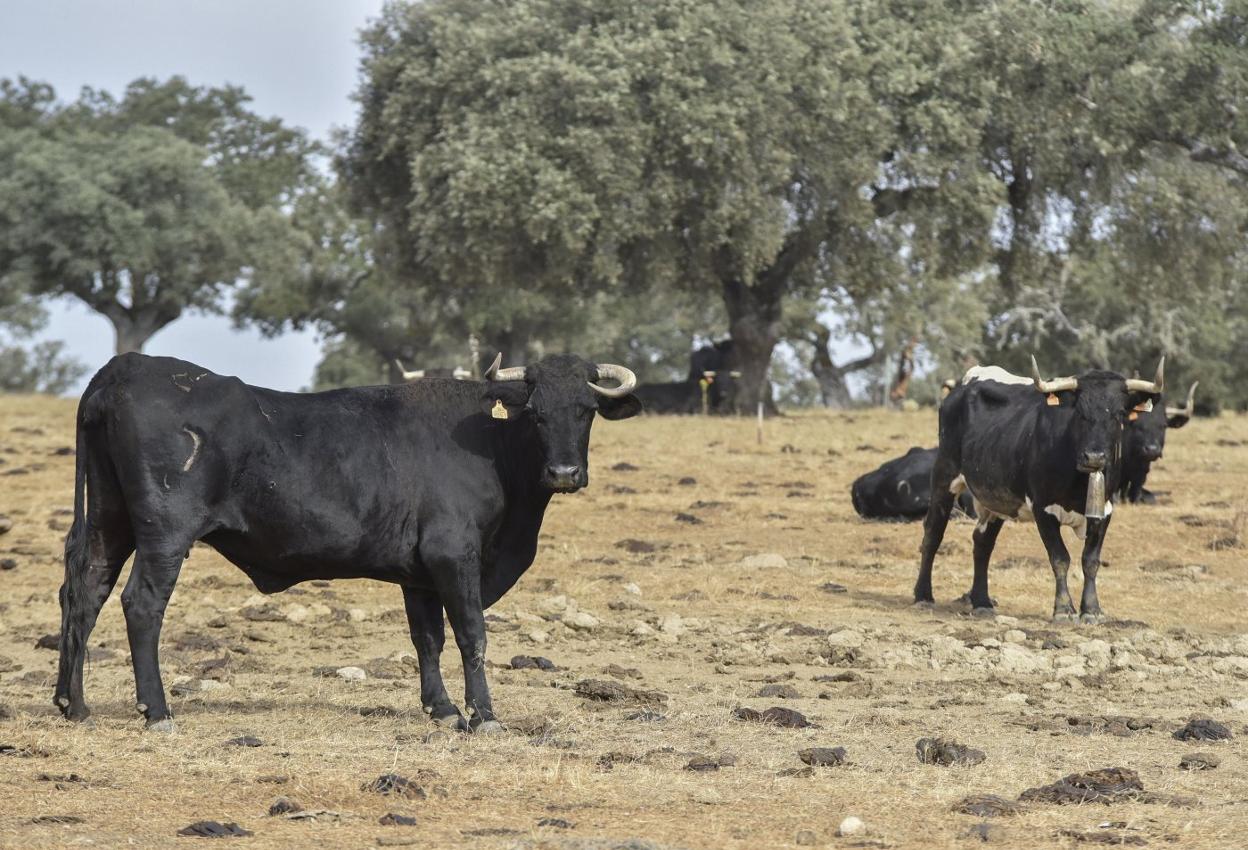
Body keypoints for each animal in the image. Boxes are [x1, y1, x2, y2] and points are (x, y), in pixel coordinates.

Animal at [56, 349, 643, 728]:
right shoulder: (454, 555)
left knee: (84, 593)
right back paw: (156, 711)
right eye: (536, 413)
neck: (490, 445)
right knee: (140, 604)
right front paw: (484, 715)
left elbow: (427, 639)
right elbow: (471, 634)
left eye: (586, 411)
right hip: (165, 532)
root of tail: (124, 367)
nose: (564, 473)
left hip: (110, 521)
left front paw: (442, 709)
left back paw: (73, 705)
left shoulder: (419, 575)